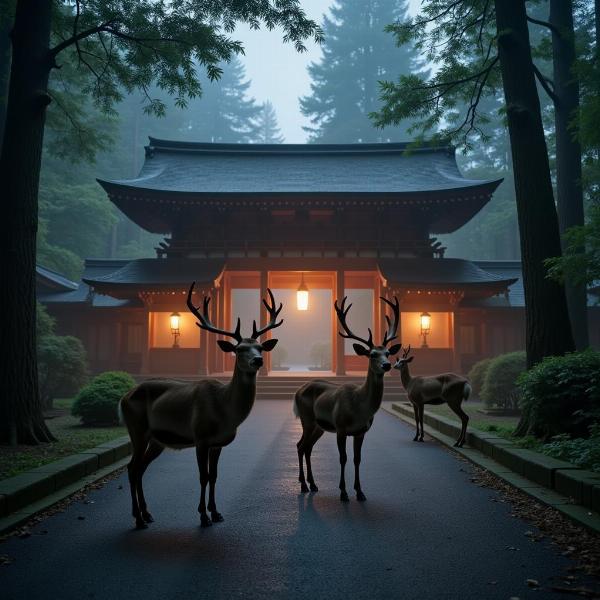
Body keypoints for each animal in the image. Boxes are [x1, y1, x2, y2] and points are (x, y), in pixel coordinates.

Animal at [120, 284, 284, 528]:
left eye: (260, 348)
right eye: (239, 349)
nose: (258, 360)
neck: (225, 413)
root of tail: (124, 397)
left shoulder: (217, 443)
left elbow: (214, 476)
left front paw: (216, 513)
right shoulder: (201, 437)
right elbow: (203, 476)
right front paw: (203, 516)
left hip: (157, 439)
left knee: (140, 468)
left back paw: (147, 514)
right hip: (137, 430)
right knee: (132, 468)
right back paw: (139, 519)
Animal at [292, 296, 400, 502]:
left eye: (388, 353)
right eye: (372, 354)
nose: (387, 365)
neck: (360, 409)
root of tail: (298, 391)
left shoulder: (361, 432)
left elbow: (357, 459)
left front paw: (360, 492)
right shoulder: (341, 428)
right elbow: (343, 458)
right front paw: (343, 492)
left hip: (319, 426)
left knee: (308, 447)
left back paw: (313, 484)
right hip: (307, 419)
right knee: (300, 445)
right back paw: (303, 485)